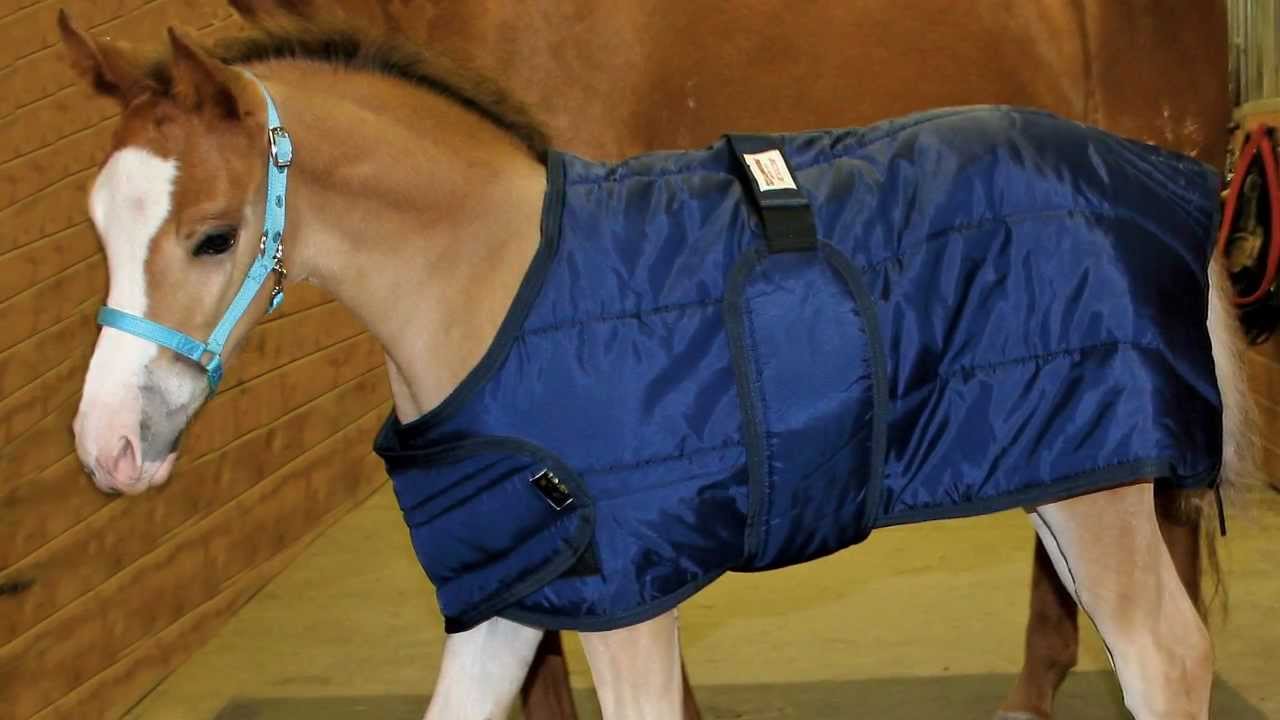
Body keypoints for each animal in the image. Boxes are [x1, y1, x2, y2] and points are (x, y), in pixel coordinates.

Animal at [59, 13, 1256, 720]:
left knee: (1165, 657)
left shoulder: (629, 599)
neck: (497, 282)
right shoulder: (510, 596)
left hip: (1099, 497)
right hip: (1059, 487)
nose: (107, 447)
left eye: (214, 236)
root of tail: (1159, 174)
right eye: (98, 225)